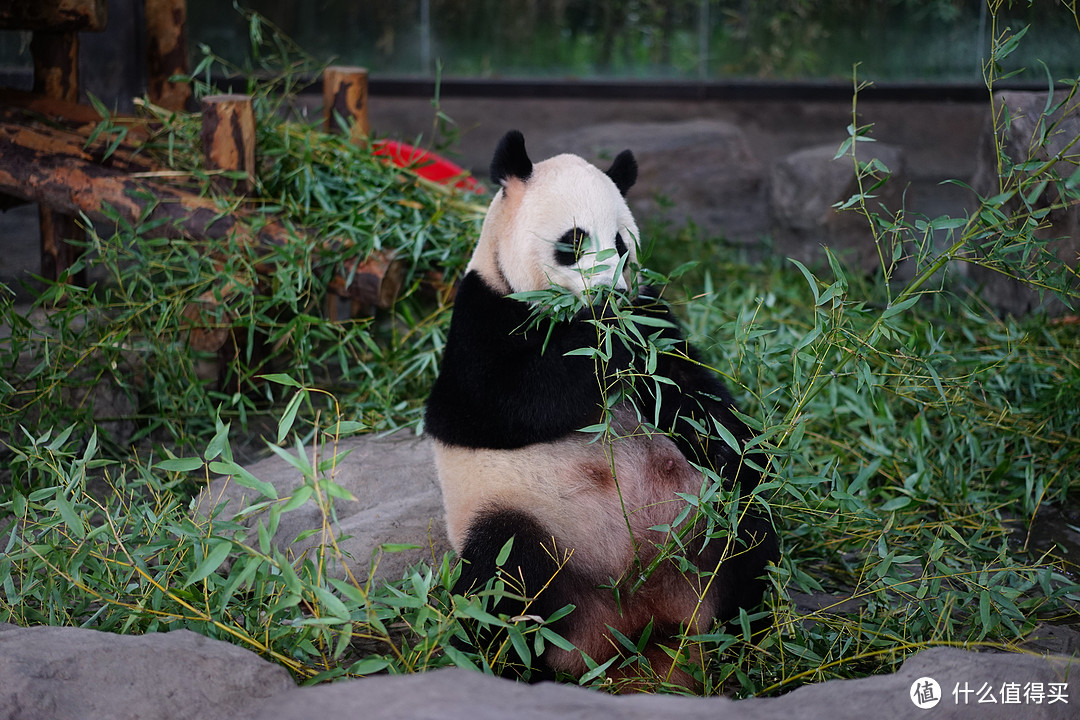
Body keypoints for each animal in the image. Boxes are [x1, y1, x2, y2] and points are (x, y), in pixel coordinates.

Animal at [423, 129, 777, 686]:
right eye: (573, 241)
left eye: (621, 245)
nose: (609, 292)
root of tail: (630, 631)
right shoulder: (482, 316)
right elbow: (499, 402)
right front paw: (601, 341)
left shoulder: (658, 322)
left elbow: (690, 394)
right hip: (522, 520)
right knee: (504, 580)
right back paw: (508, 667)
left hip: (704, 518)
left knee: (748, 533)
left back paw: (743, 644)